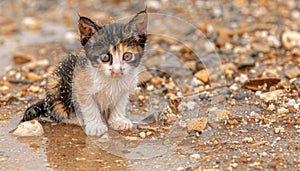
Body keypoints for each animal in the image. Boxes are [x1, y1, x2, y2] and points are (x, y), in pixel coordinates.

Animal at [20, 10, 148, 136]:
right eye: (105, 57)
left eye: (127, 56)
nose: (116, 70)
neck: (111, 80)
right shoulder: (79, 85)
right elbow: (89, 107)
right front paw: (96, 126)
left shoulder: (125, 88)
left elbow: (119, 104)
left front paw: (118, 121)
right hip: (54, 84)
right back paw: (76, 119)